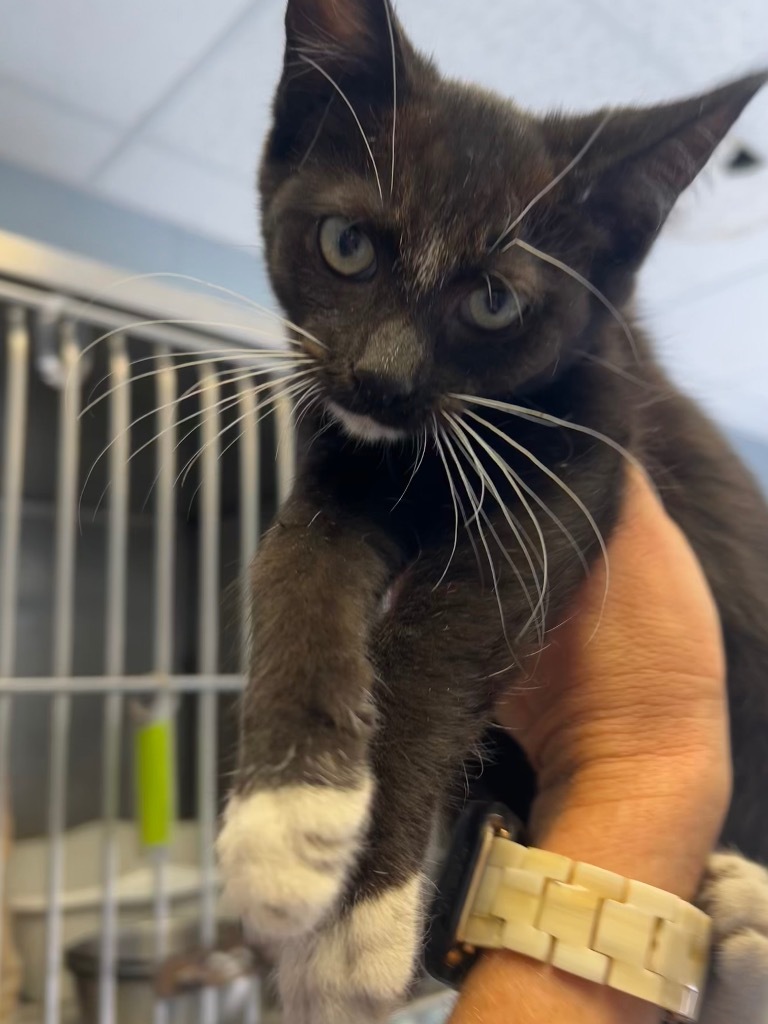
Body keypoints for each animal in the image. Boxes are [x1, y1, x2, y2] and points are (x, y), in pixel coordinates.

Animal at [217, 4, 768, 1019]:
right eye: (347, 245)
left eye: (496, 300)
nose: (382, 378)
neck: (420, 451)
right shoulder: (345, 443)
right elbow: (298, 558)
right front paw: (289, 813)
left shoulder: (592, 429)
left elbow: (452, 621)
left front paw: (357, 918)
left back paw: (747, 909)